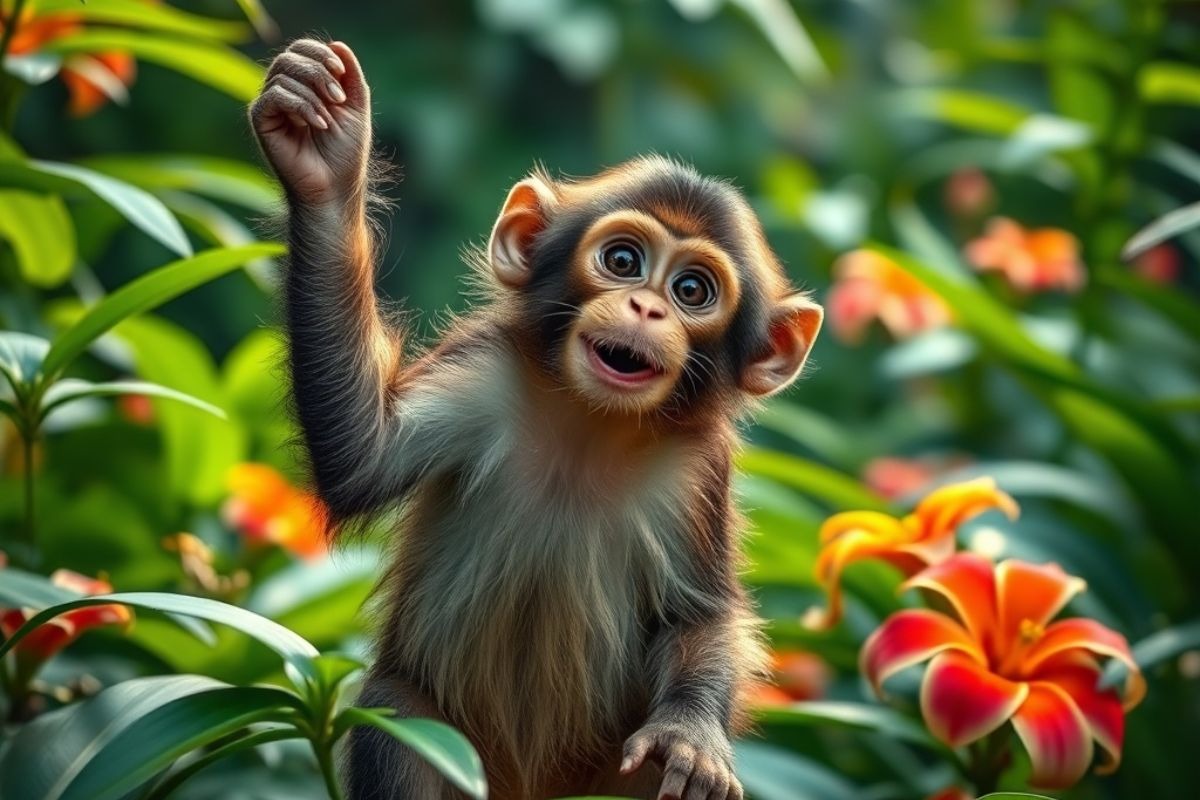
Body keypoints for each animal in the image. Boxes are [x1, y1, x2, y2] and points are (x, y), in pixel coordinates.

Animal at [250, 38, 823, 800]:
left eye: (693, 290)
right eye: (622, 260)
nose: (647, 307)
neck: (588, 425)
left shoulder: (697, 471)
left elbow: (700, 614)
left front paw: (692, 737)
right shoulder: (482, 375)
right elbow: (361, 455)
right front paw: (326, 160)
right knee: (400, 718)